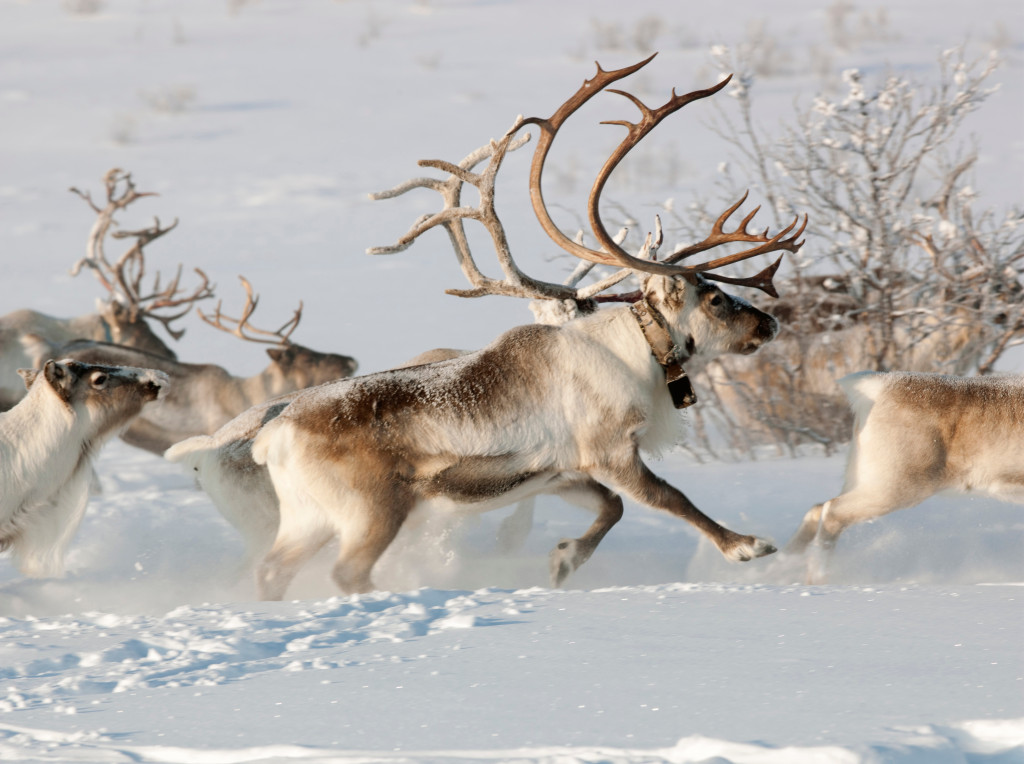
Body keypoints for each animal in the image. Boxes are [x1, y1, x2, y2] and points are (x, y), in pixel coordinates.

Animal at [241, 54, 806, 599]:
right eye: (714, 298)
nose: (769, 324)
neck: (635, 355)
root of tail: (273, 438)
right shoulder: (610, 452)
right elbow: (672, 497)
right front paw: (745, 546)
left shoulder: (560, 473)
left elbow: (613, 508)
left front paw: (564, 560)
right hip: (372, 511)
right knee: (346, 572)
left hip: (307, 519)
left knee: (271, 571)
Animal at [784, 370, 1024, 583]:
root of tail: (879, 384)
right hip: (895, 486)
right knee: (832, 512)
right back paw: (817, 578)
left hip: (862, 478)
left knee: (817, 509)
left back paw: (780, 565)